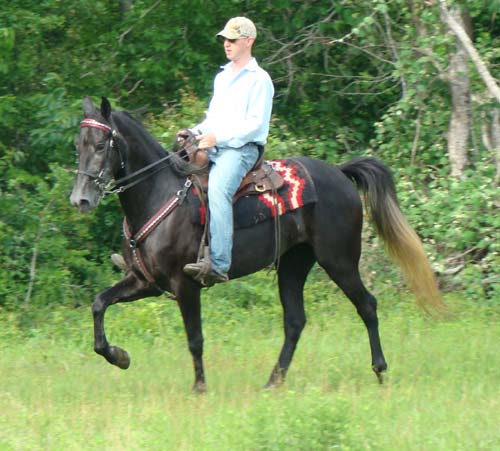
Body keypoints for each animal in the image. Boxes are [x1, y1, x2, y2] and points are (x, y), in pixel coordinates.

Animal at [69, 98, 442, 392]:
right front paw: (119, 356)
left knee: (367, 305)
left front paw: (199, 388)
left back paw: (379, 370)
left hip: (339, 260)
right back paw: (273, 382)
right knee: (295, 322)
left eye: (101, 146)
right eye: (79, 145)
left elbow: (195, 339)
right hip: (294, 263)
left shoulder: (184, 284)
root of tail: (339, 173)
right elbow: (99, 304)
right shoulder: (145, 282)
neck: (159, 193)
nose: (80, 200)